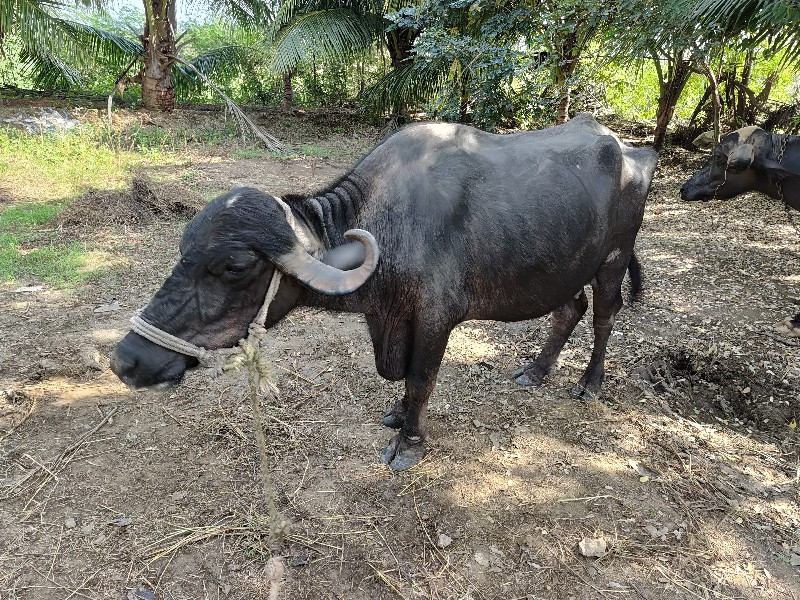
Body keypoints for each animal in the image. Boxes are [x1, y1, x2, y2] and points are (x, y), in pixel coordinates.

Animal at [115, 115, 660, 472]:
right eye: (183, 249)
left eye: (234, 266)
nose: (126, 359)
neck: (390, 223)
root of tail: (634, 152)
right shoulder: (391, 318)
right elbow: (397, 377)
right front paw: (396, 415)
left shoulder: (436, 317)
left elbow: (420, 379)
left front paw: (409, 441)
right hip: (559, 269)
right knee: (570, 309)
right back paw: (536, 370)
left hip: (612, 260)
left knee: (605, 315)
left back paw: (590, 382)